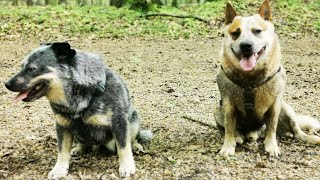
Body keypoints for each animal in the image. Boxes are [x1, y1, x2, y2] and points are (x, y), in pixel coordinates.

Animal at [4, 42, 152, 179]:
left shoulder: (119, 122)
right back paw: (78, 148)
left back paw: (136, 146)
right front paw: (59, 170)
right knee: (82, 143)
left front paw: (126, 166)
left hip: (133, 120)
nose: (6, 84)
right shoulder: (62, 126)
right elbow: (62, 152)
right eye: (22, 67)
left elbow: (123, 147)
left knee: (133, 139)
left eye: (31, 68)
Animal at [215, 0, 320, 158]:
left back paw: (309, 138)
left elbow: (272, 128)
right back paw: (238, 137)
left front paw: (271, 146)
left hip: (286, 107)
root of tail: (255, 133)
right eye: (235, 33)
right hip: (217, 110)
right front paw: (227, 146)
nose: (246, 45)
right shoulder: (228, 105)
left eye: (257, 31)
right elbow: (229, 128)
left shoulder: (275, 105)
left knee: (296, 132)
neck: (250, 78)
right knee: (232, 130)